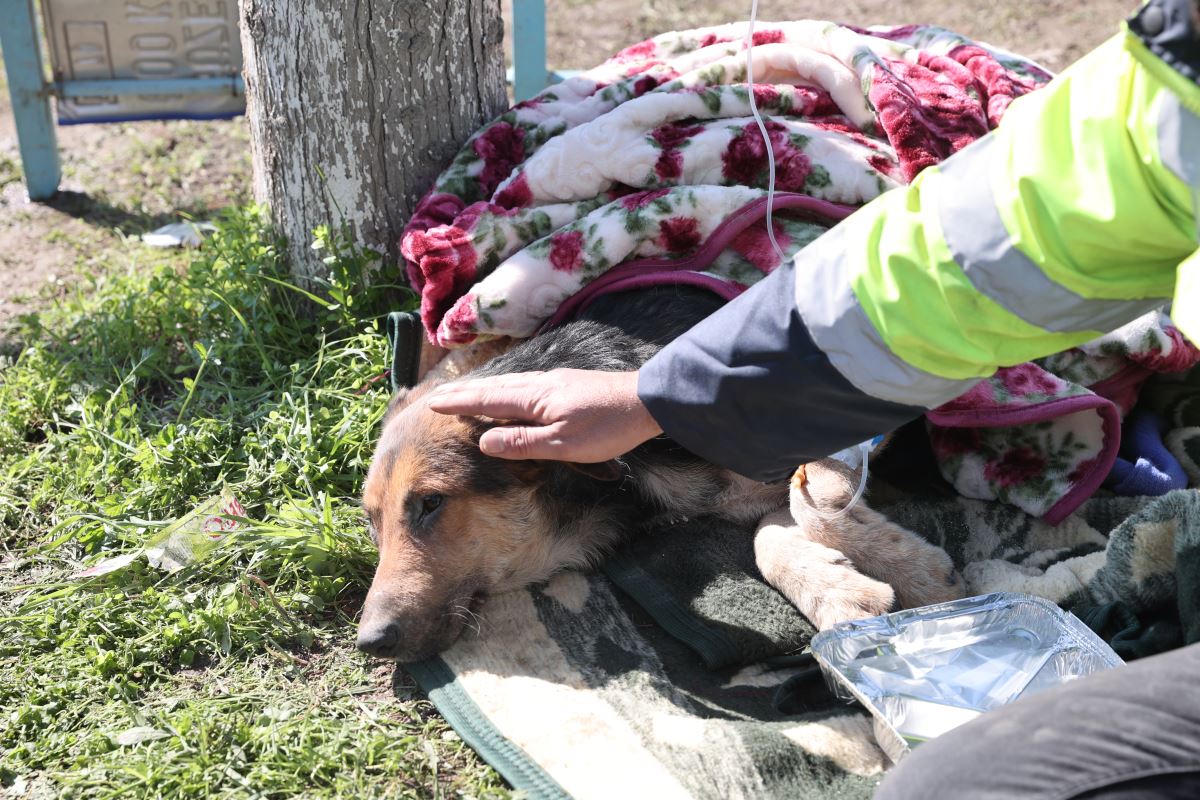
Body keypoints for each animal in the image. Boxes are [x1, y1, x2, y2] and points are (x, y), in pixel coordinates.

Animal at [357, 286, 964, 662]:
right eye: (370, 521)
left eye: (431, 503)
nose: (369, 642)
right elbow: (770, 534)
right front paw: (839, 591)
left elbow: (813, 504)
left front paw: (914, 571)